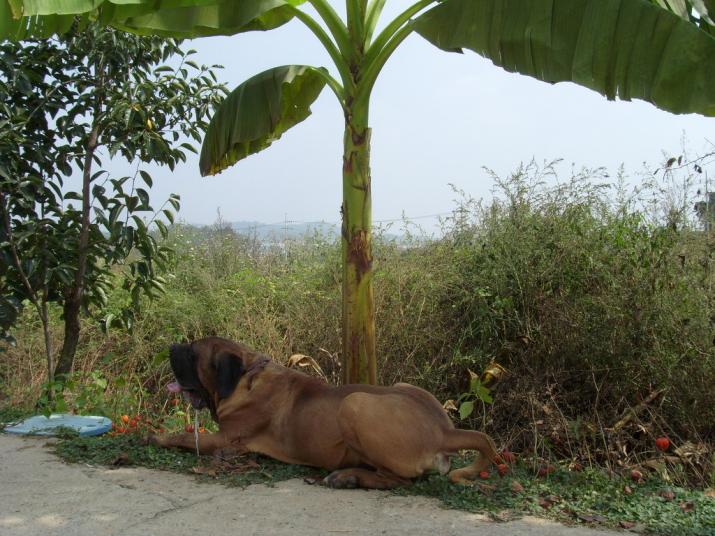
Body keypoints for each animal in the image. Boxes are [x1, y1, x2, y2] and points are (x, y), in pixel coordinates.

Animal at [148, 340, 500, 490]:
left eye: (192, 352)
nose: (172, 345)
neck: (245, 375)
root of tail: (445, 430)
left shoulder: (227, 438)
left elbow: (185, 437)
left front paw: (157, 437)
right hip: (402, 387)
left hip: (354, 403)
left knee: (398, 480)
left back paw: (347, 477)